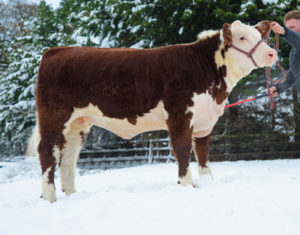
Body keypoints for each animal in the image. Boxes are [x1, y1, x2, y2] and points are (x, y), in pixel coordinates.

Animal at [26, 20, 276, 202]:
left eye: (260, 36)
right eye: (242, 37)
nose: (272, 53)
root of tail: (56, 51)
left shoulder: (205, 121)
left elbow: (203, 153)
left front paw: (208, 181)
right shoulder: (180, 116)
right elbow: (183, 150)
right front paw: (187, 184)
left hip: (78, 123)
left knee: (67, 157)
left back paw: (72, 195)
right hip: (54, 117)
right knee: (47, 153)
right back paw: (50, 198)